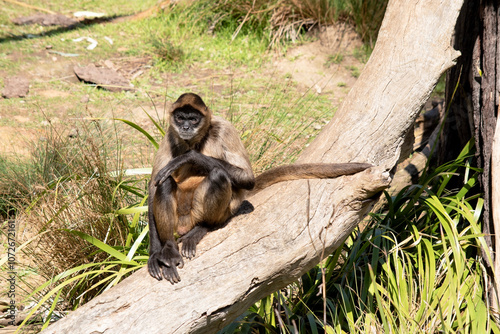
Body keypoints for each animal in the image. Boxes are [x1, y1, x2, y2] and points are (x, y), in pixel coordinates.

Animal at [148, 92, 372, 284]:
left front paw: (190, 157)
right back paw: (169, 248)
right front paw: (154, 254)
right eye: (180, 118)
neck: (195, 141)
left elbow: (248, 179)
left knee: (218, 175)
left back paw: (203, 227)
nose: (186, 127)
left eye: (193, 119)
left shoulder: (224, 128)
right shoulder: (170, 134)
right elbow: (153, 188)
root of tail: (186, 224)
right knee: (166, 182)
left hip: (212, 211)